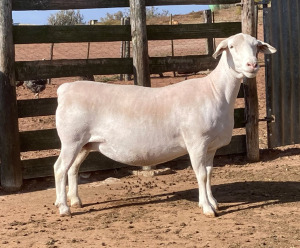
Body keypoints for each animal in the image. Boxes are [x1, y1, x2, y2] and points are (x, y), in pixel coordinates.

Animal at [53, 33, 276, 217]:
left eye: (257, 46)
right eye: (231, 46)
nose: (252, 65)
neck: (215, 91)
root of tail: (65, 89)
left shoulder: (211, 146)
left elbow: (210, 173)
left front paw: (213, 202)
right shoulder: (196, 142)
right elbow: (201, 174)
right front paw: (207, 208)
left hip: (84, 143)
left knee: (73, 169)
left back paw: (74, 201)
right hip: (71, 139)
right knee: (60, 168)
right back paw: (64, 208)